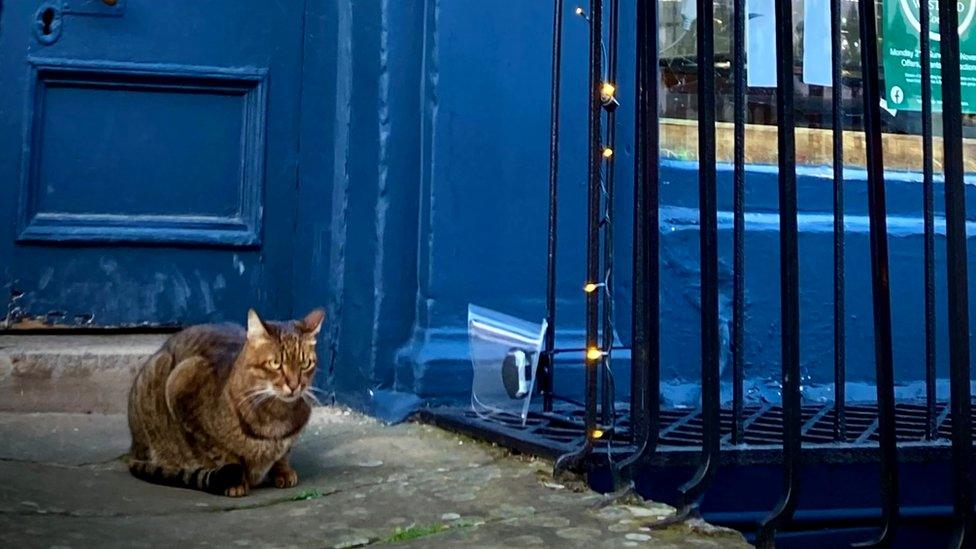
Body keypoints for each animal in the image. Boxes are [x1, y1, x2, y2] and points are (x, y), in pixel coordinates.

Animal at [124, 308, 324, 496]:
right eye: (275, 364)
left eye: (305, 364)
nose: (294, 385)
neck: (276, 418)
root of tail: (133, 448)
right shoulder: (182, 388)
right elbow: (223, 453)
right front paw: (237, 482)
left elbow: (284, 453)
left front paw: (283, 471)